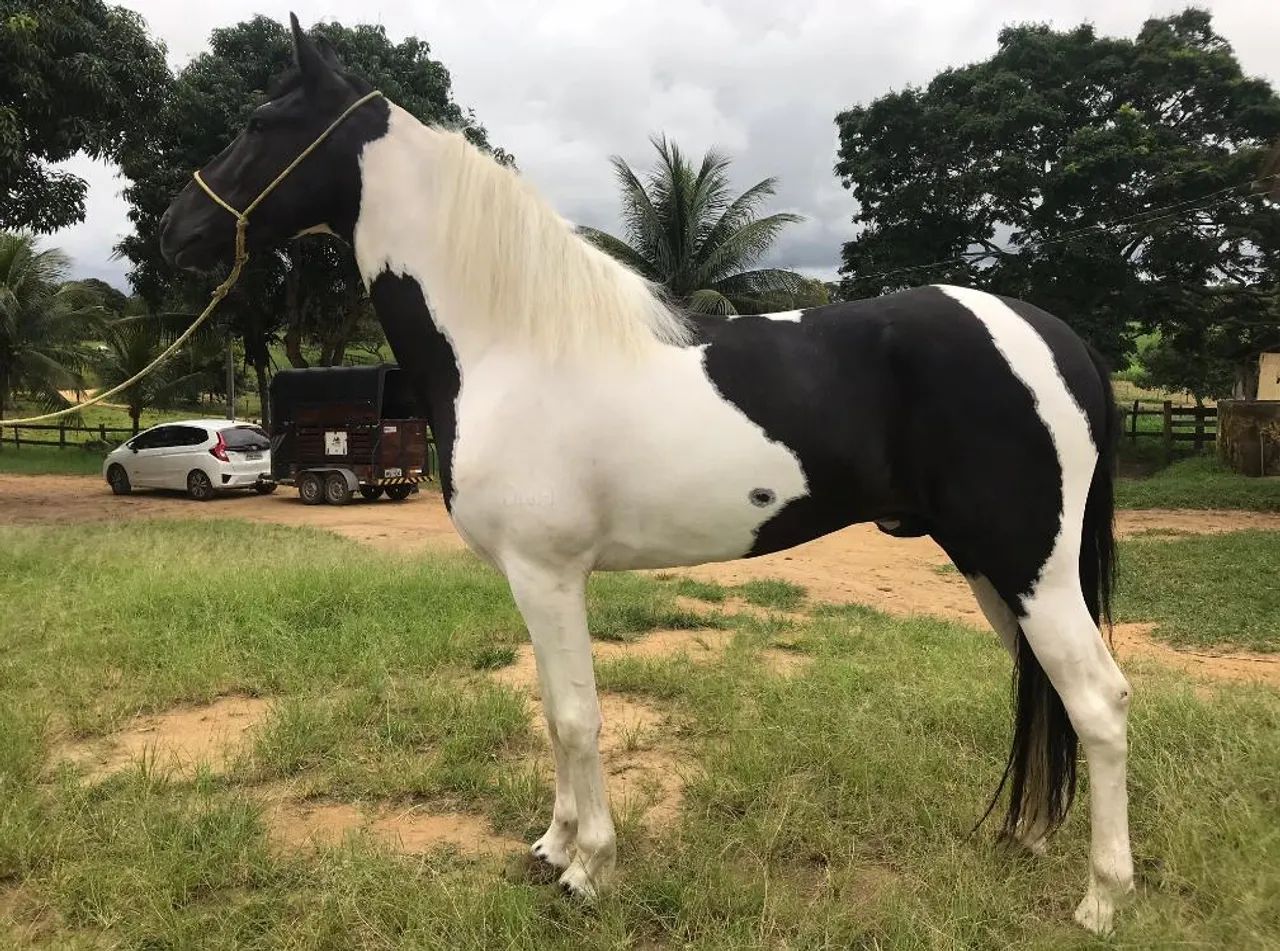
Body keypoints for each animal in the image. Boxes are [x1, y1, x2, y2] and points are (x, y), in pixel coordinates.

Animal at [158, 15, 1134, 934]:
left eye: (260, 122)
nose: (177, 230)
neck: (512, 341)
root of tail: (1061, 339)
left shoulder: (549, 574)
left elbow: (576, 716)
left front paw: (589, 868)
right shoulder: (532, 580)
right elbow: (552, 710)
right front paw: (552, 846)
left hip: (1029, 566)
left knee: (1098, 698)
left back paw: (1101, 898)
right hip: (991, 568)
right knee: (1043, 686)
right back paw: (1027, 837)